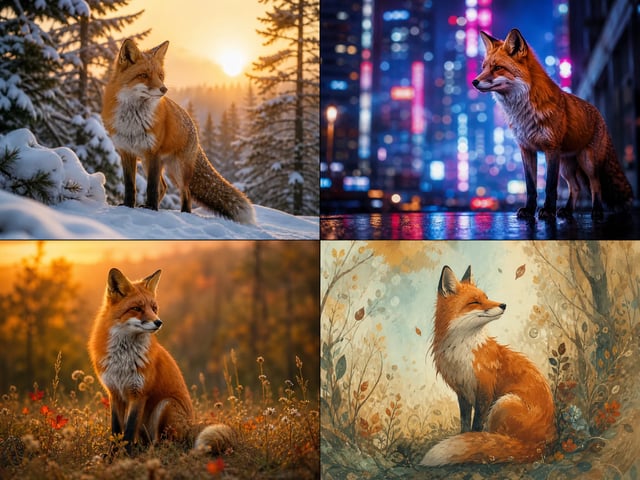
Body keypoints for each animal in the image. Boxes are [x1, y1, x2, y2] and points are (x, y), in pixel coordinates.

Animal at [88, 268, 235, 455]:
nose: (159, 322)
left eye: (154, 308)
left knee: (168, 443)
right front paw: (112, 454)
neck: (123, 357)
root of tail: (192, 425)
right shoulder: (114, 393)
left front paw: (125, 455)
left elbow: (128, 430)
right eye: (136, 308)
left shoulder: (139, 393)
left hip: (165, 405)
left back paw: (153, 450)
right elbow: (116, 431)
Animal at [102, 39, 255, 224]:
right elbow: (130, 186)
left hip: (177, 169)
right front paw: (128, 206)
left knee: (185, 192)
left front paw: (151, 209)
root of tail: (193, 125)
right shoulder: (126, 152)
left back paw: (184, 213)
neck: (133, 119)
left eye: (160, 76)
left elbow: (151, 187)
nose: (164, 89)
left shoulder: (153, 152)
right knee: (164, 187)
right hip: (149, 163)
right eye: (144, 75)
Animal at [420, 265, 556, 466]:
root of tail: (541, 446)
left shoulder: (485, 390)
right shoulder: (462, 391)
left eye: (486, 297)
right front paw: (463, 437)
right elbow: (465, 422)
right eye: (475, 302)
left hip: (503, 402)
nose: (503, 305)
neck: (462, 351)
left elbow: (476, 425)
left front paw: (470, 441)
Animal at [473, 28, 633, 221]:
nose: (474, 81)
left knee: (596, 185)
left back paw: (596, 211)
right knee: (576, 187)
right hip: (566, 167)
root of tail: (598, 113)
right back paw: (567, 211)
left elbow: (550, 186)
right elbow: (531, 187)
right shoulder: (527, 149)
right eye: (483, 68)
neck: (522, 112)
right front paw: (529, 210)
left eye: (497, 68)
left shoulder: (551, 149)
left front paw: (548, 210)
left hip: (587, 162)